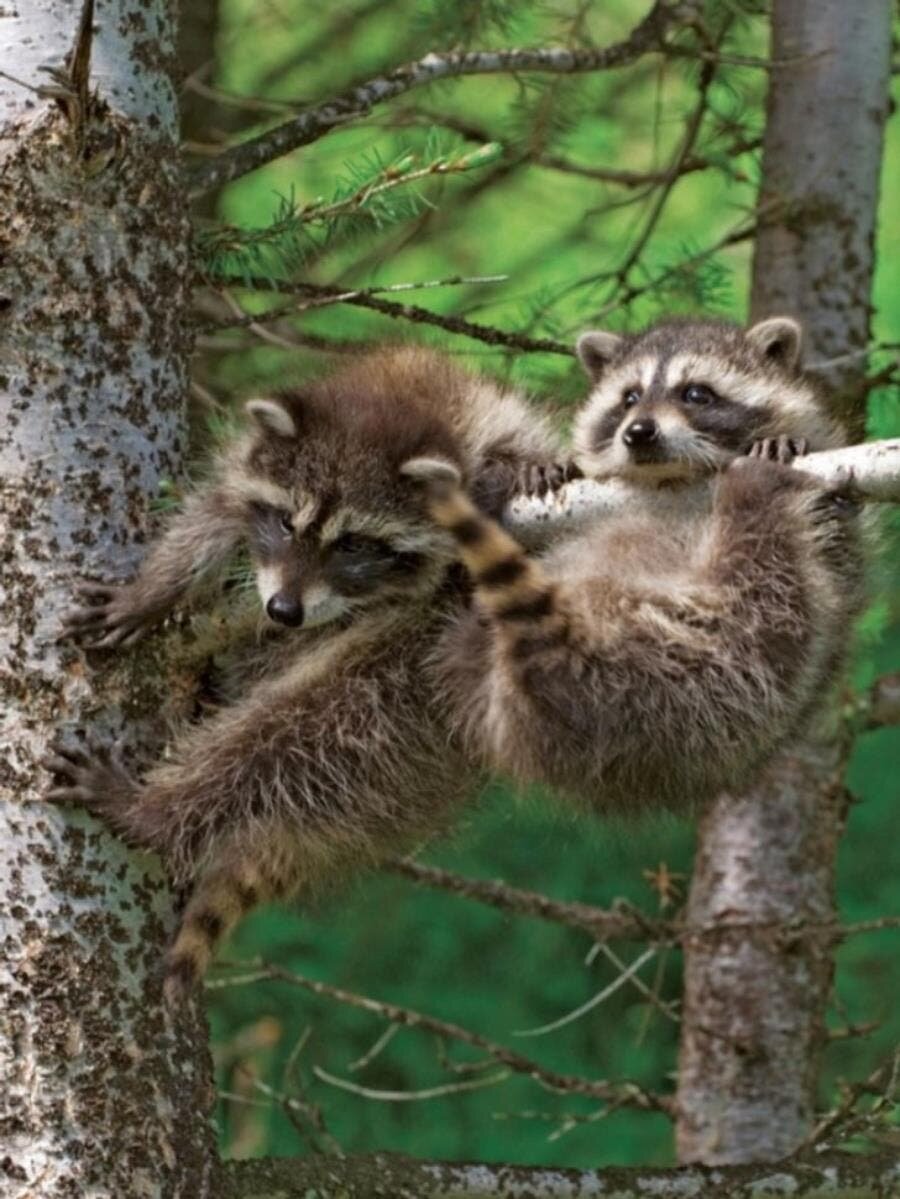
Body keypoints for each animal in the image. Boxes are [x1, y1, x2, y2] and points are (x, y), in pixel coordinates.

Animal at [45, 342, 565, 997]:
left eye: (354, 545)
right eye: (286, 522)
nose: (283, 611)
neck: (393, 407)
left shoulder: (483, 417)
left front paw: (524, 466)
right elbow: (211, 513)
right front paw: (152, 591)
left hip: (416, 702)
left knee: (301, 734)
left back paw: (156, 812)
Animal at [407, 316, 867, 815]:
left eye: (696, 393)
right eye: (629, 398)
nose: (639, 431)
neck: (671, 480)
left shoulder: (836, 530)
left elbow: (833, 537)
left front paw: (779, 446)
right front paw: (550, 467)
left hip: (720, 669)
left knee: (764, 577)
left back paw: (753, 497)